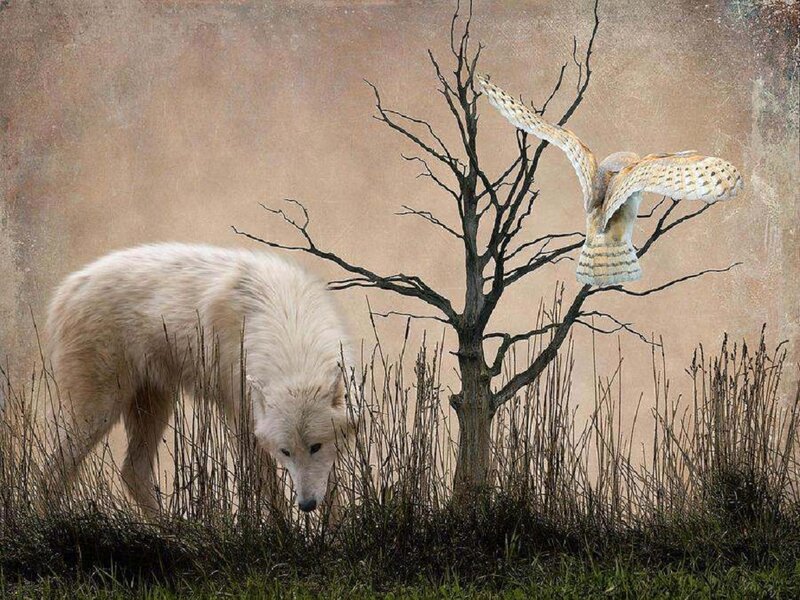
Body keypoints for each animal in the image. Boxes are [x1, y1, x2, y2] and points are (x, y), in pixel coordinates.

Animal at [43, 243, 353, 514]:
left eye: (315, 447)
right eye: (285, 451)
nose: (307, 505)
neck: (289, 321)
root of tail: (66, 288)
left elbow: (333, 492)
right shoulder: (241, 420)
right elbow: (269, 492)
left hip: (154, 406)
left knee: (132, 471)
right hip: (98, 413)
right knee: (50, 470)